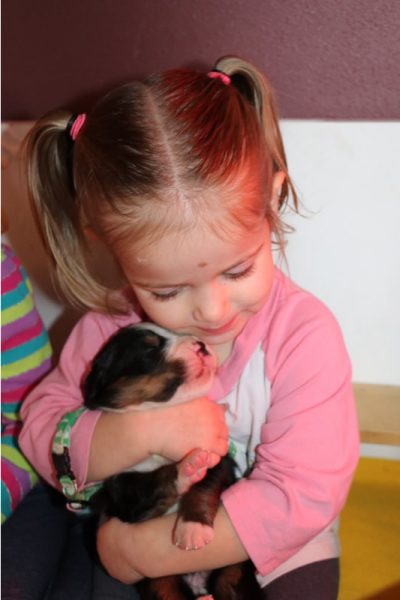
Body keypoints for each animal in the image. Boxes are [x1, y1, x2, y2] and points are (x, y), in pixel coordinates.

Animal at [83, 324, 260, 600]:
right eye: (149, 349)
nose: (201, 345)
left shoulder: (218, 456)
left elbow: (204, 485)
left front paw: (193, 528)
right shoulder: (124, 492)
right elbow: (154, 483)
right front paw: (187, 469)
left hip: (235, 570)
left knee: (230, 584)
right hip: (161, 583)